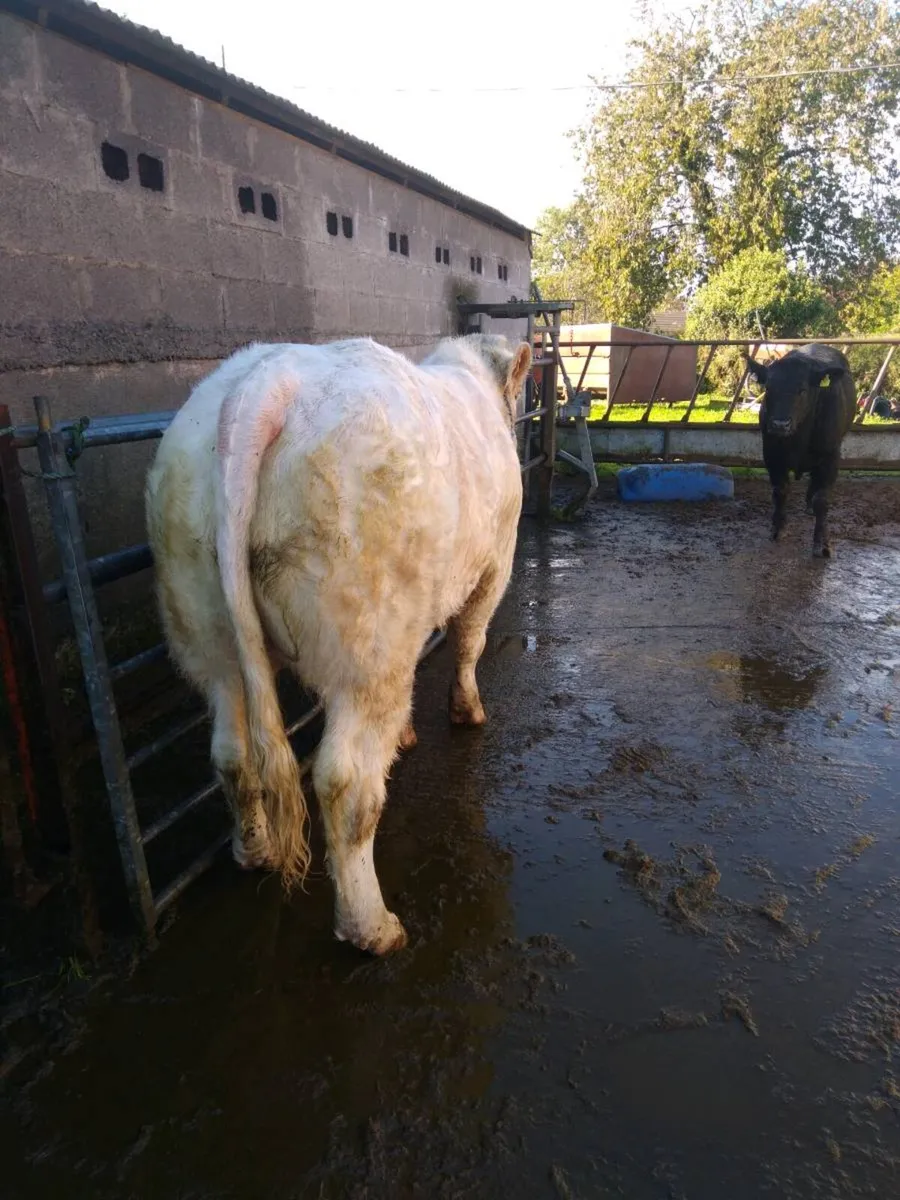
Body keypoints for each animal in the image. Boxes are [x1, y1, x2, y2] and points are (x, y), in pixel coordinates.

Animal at [145, 333, 532, 954]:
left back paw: (254, 850)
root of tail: (267, 380)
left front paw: (407, 734)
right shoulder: (496, 563)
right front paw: (467, 712)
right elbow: (470, 641)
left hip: (201, 615)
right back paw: (372, 928)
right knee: (346, 784)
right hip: (368, 636)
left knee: (231, 750)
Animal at [746, 344, 856, 558]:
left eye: (802, 390)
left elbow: (822, 500)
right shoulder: (771, 453)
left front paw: (821, 544)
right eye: (769, 388)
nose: (780, 424)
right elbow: (780, 490)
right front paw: (778, 527)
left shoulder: (831, 458)